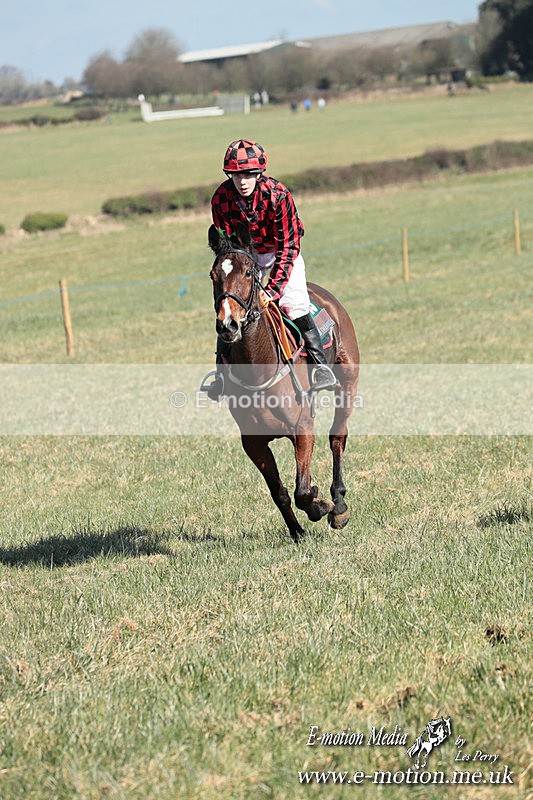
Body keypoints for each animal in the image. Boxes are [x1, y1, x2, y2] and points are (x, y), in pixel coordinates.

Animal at [205, 222, 359, 542]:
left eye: (248, 272)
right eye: (214, 275)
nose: (228, 325)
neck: (258, 369)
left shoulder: (302, 428)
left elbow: (303, 490)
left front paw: (320, 504)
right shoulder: (253, 442)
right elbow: (280, 492)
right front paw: (297, 532)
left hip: (348, 383)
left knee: (337, 437)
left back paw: (338, 505)